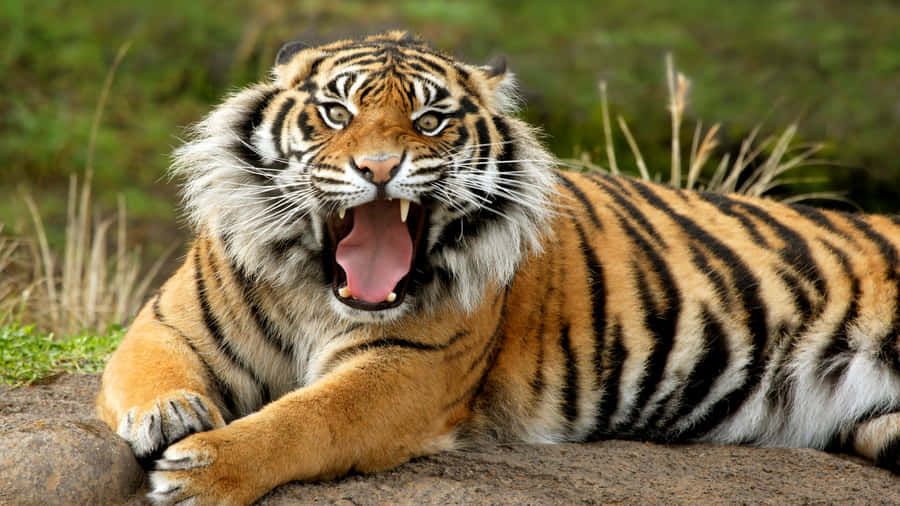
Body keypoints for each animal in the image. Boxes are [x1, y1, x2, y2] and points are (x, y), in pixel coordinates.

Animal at [96, 31, 900, 505]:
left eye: (429, 122)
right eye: (335, 113)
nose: (379, 168)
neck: (317, 290)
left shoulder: (407, 368)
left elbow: (307, 418)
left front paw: (204, 470)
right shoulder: (169, 322)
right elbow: (148, 369)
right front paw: (170, 414)